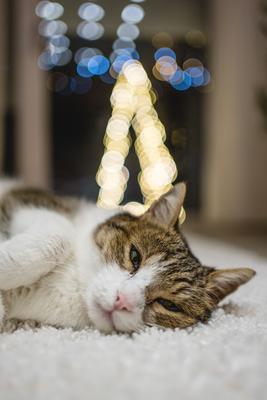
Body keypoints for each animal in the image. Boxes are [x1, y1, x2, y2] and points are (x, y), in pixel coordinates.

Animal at [0, 180, 256, 332]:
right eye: (135, 256)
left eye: (169, 305)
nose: (121, 301)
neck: (78, 288)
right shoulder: (26, 198)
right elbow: (59, 234)